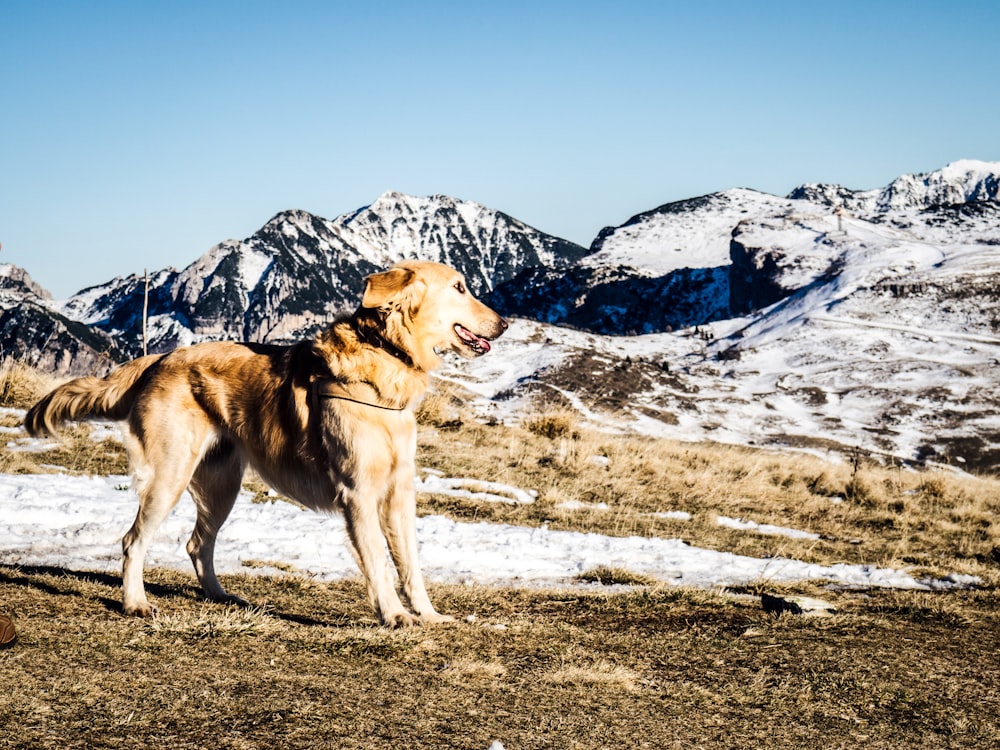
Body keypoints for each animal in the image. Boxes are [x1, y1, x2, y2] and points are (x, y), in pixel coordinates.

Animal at [25, 262, 508, 624]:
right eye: (460, 287)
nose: (504, 323)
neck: (386, 357)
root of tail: (161, 358)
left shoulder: (399, 494)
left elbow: (410, 565)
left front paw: (427, 614)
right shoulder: (358, 494)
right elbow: (379, 565)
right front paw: (393, 615)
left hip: (221, 485)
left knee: (197, 544)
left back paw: (221, 596)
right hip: (170, 476)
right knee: (133, 541)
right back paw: (135, 602)